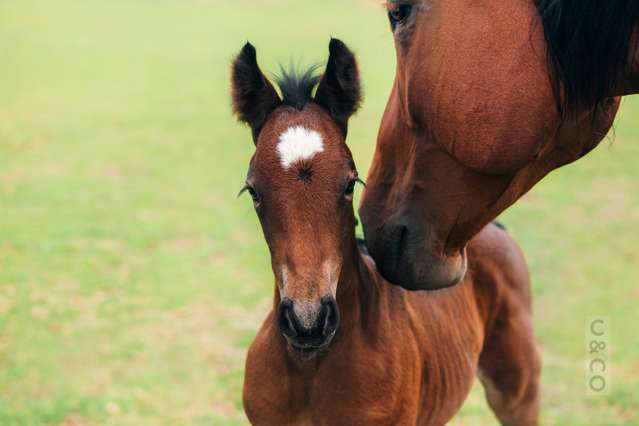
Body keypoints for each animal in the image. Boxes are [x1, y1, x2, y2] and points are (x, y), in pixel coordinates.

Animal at [230, 38, 540, 424]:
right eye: (253, 190)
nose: (308, 322)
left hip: (516, 391)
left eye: (350, 183)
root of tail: (492, 228)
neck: (309, 369)